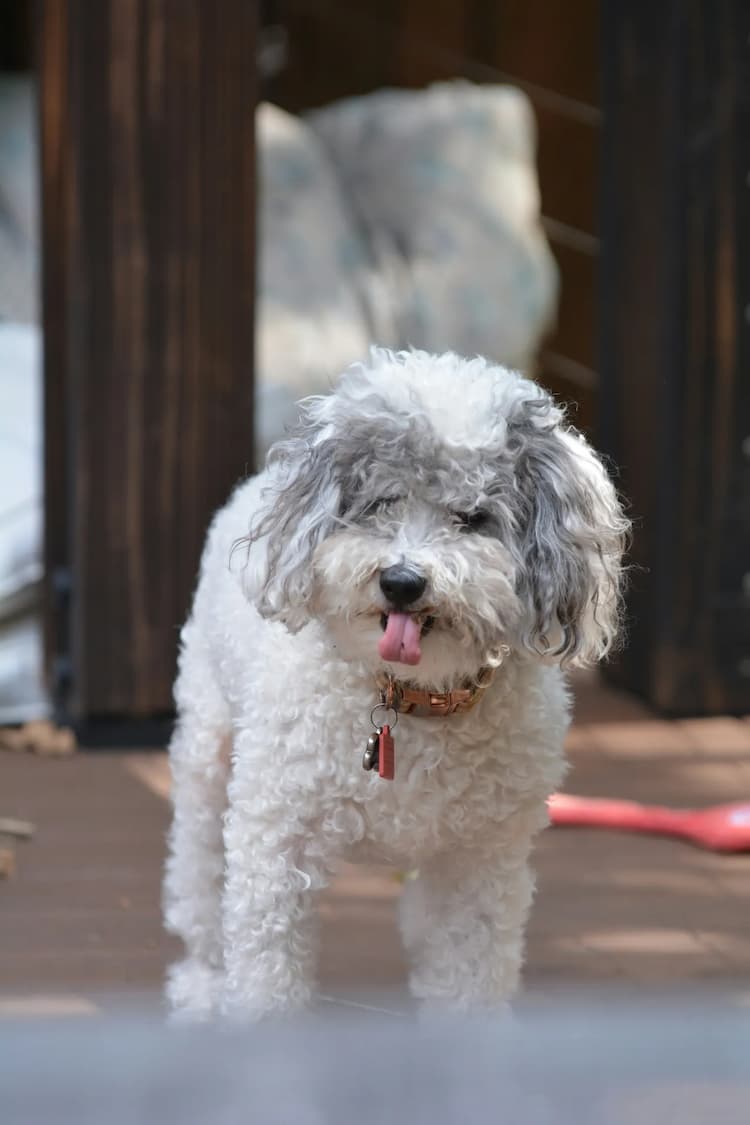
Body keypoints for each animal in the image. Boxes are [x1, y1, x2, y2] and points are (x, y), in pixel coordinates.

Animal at [164, 348, 629, 1021]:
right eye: (383, 502)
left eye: (473, 518)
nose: (402, 582)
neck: (410, 701)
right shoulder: (275, 841)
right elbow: (265, 973)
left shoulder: (478, 861)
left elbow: (467, 977)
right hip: (207, 743)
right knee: (197, 875)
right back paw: (202, 986)